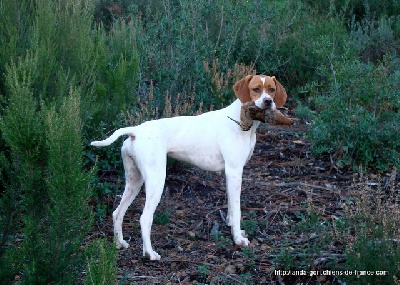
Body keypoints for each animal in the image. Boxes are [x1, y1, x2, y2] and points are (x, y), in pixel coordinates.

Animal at [92, 74, 288, 258]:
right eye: (256, 89)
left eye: (271, 89)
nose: (268, 101)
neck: (240, 119)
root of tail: (136, 131)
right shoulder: (234, 172)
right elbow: (238, 209)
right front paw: (238, 239)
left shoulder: (231, 175)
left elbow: (231, 209)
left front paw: (235, 229)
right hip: (156, 180)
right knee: (145, 218)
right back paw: (150, 253)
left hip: (134, 181)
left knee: (117, 213)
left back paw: (119, 243)